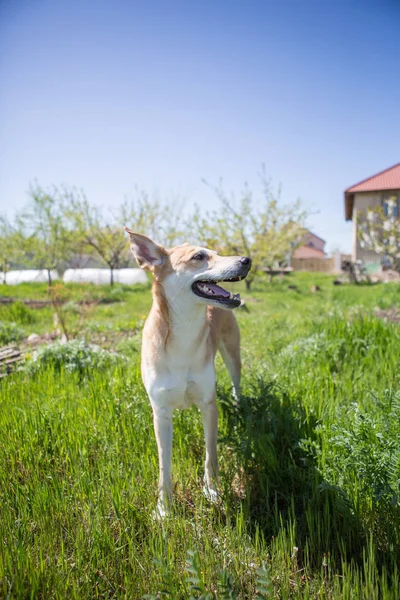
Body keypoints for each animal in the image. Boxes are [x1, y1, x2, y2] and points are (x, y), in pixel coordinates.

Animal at [123, 230, 252, 516]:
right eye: (198, 256)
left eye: (216, 253)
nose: (247, 260)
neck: (184, 332)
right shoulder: (160, 413)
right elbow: (164, 465)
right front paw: (164, 508)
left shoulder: (208, 404)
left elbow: (211, 455)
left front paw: (212, 492)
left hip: (232, 353)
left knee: (236, 383)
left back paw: (239, 406)